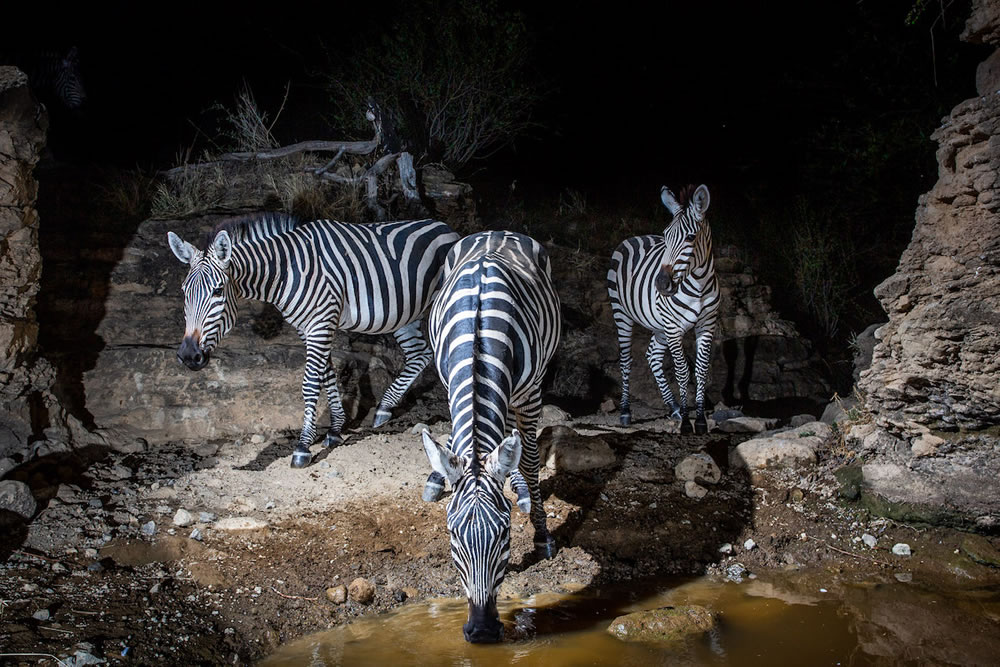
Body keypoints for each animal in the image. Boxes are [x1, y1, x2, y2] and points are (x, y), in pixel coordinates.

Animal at [166, 213, 458, 464]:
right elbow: (326, 374)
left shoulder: (321, 322)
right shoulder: (308, 328)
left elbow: (309, 382)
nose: (188, 355)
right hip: (404, 312)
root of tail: (444, 226)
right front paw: (335, 430)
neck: (286, 272)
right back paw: (385, 408)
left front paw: (303, 446)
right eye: (183, 291)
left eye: (217, 291)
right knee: (420, 354)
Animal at [418, 232, 564, 644]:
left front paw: (542, 535)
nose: (482, 632)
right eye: (453, 536)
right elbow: (458, 444)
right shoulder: (450, 382)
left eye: (505, 534)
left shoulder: (531, 393)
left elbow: (528, 461)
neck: (479, 334)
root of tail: (496, 232)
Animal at [600, 184, 720, 434]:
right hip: (622, 313)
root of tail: (634, 237)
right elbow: (682, 372)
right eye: (666, 236)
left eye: (691, 237)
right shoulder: (674, 327)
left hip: (660, 324)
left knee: (653, 356)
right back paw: (626, 412)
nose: (661, 284)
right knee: (626, 361)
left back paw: (673, 408)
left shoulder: (707, 325)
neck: (698, 284)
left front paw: (700, 420)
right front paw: (687, 423)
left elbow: (701, 370)